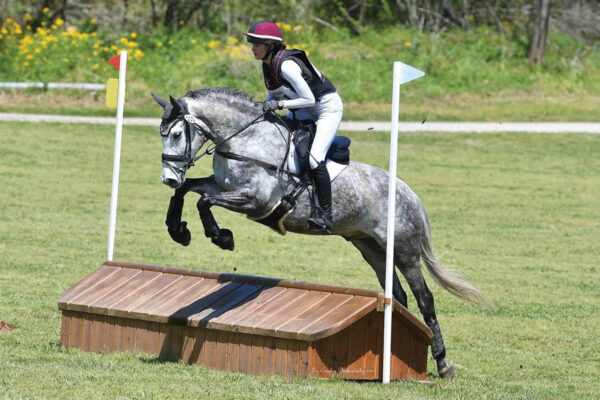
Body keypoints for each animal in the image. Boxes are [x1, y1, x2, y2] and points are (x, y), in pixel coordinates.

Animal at [152, 86, 486, 378]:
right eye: (161, 135)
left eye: (177, 134)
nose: (167, 177)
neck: (246, 140)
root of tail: (408, 192)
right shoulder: (221, 185)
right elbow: (187, 190)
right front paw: (178, 230)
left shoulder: (256, 201)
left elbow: (203, 201)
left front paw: (221, 237)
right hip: (371, 248)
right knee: (398, 295)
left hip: (403, 250)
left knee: (424, 298)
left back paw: (443, 364)